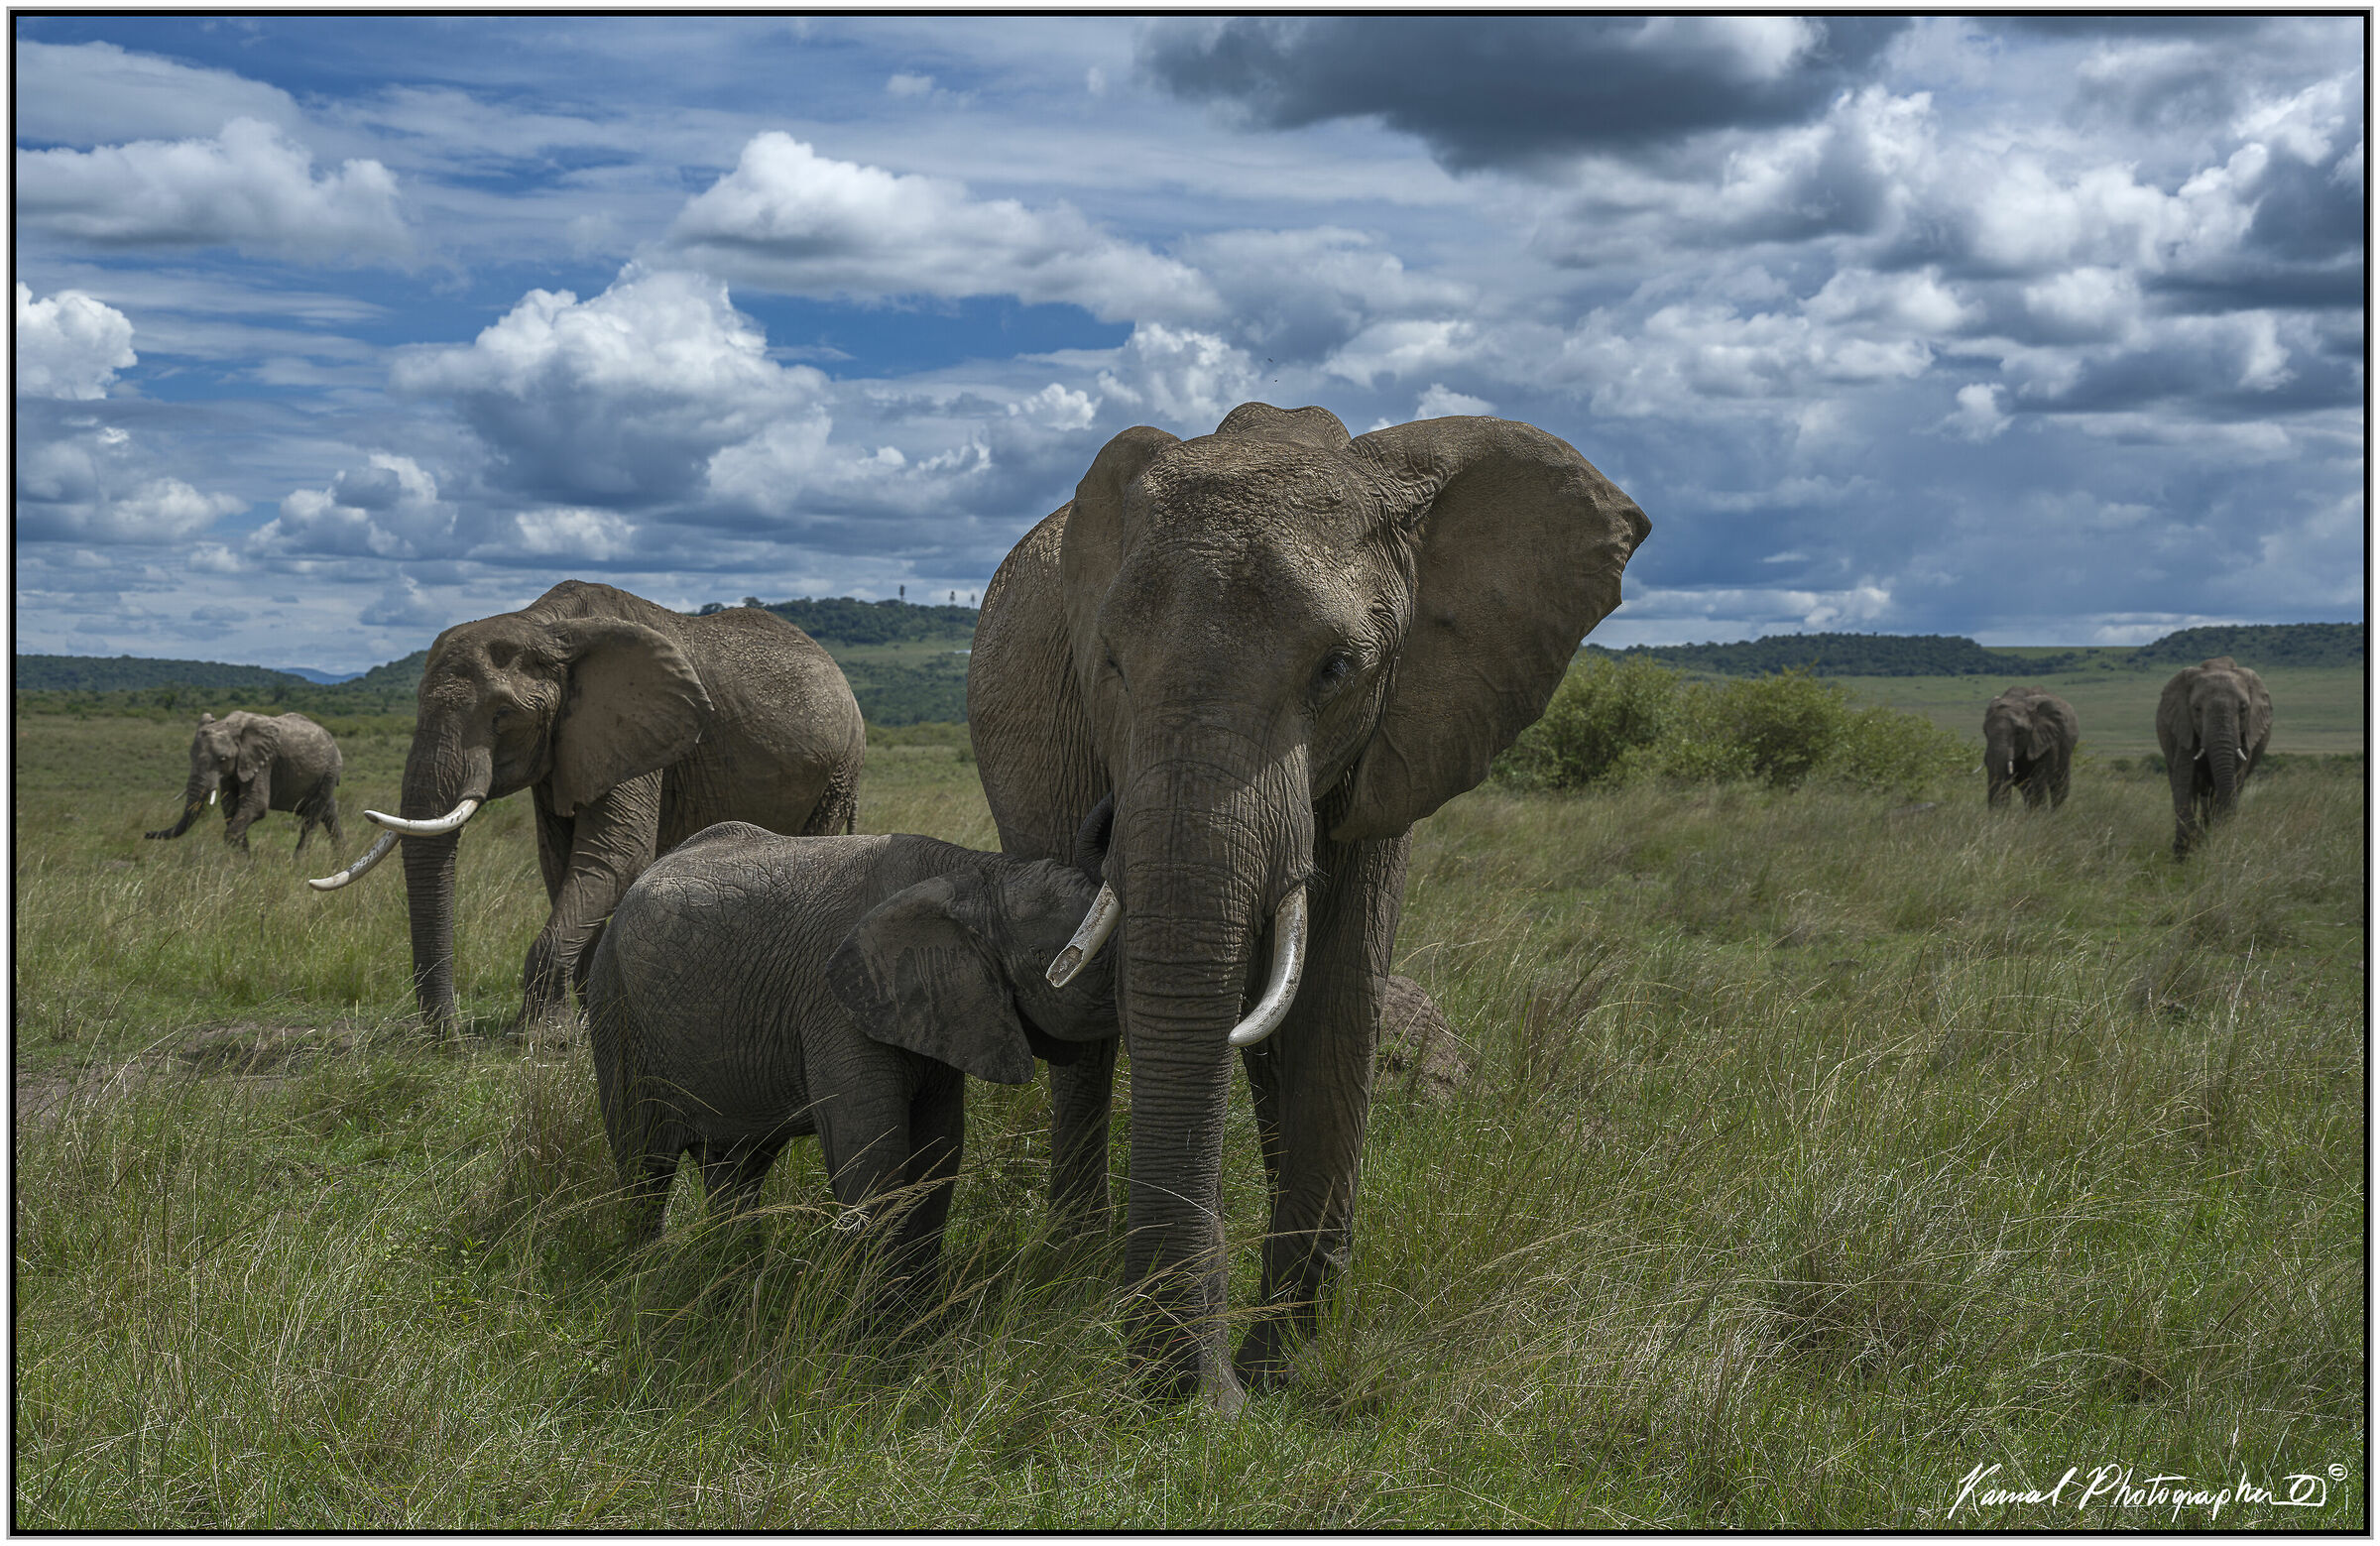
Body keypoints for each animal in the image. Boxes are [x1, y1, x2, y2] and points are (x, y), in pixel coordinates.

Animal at [145, 710, 343, 853]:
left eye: (222, 759)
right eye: (191, 756)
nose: (146, 833)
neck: (231, 726)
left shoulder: (263, 761)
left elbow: (256, 805)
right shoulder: (233, 771)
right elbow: (230, 807)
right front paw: (246, 866)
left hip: (329, 771)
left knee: (311, 818)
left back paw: (296, 865)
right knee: (329, 811)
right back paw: (339, 860)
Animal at [310, 580, 866, 1039]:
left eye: (503, 715)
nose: (453, 1037)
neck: (546, 626)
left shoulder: (636, 730)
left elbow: (615, 856)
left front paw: (540, 1039)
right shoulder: (566, 746)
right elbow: (561, 860)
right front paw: (587, 1018)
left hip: (839, 770)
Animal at [583, 806, 1119, 1315]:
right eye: (1047, 959)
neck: (975, 872)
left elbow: (939, 1149)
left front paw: (918, 1319)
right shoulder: (838, 1005)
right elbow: (869, 1149)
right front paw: (875, 1331)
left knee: (735, 1170)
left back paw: (735, 1289)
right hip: (615, 1009)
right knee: (643, 1166)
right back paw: (646, 1281)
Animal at [967, 402, 1648, 1409]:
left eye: (1336, 668)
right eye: (1111, 664)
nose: (1205, 1396)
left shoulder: (1407, 720)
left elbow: (1336, 993)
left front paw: (1284, 1364)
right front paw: (1236, 1369)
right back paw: (1076, 1259)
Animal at [2155, 656, 2272, 859]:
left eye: (2243, 709)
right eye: (2197, 708)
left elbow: (2232, 783)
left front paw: (2212, 840)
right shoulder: (2184, 728)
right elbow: (2184, 782)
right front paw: (2185, 850)